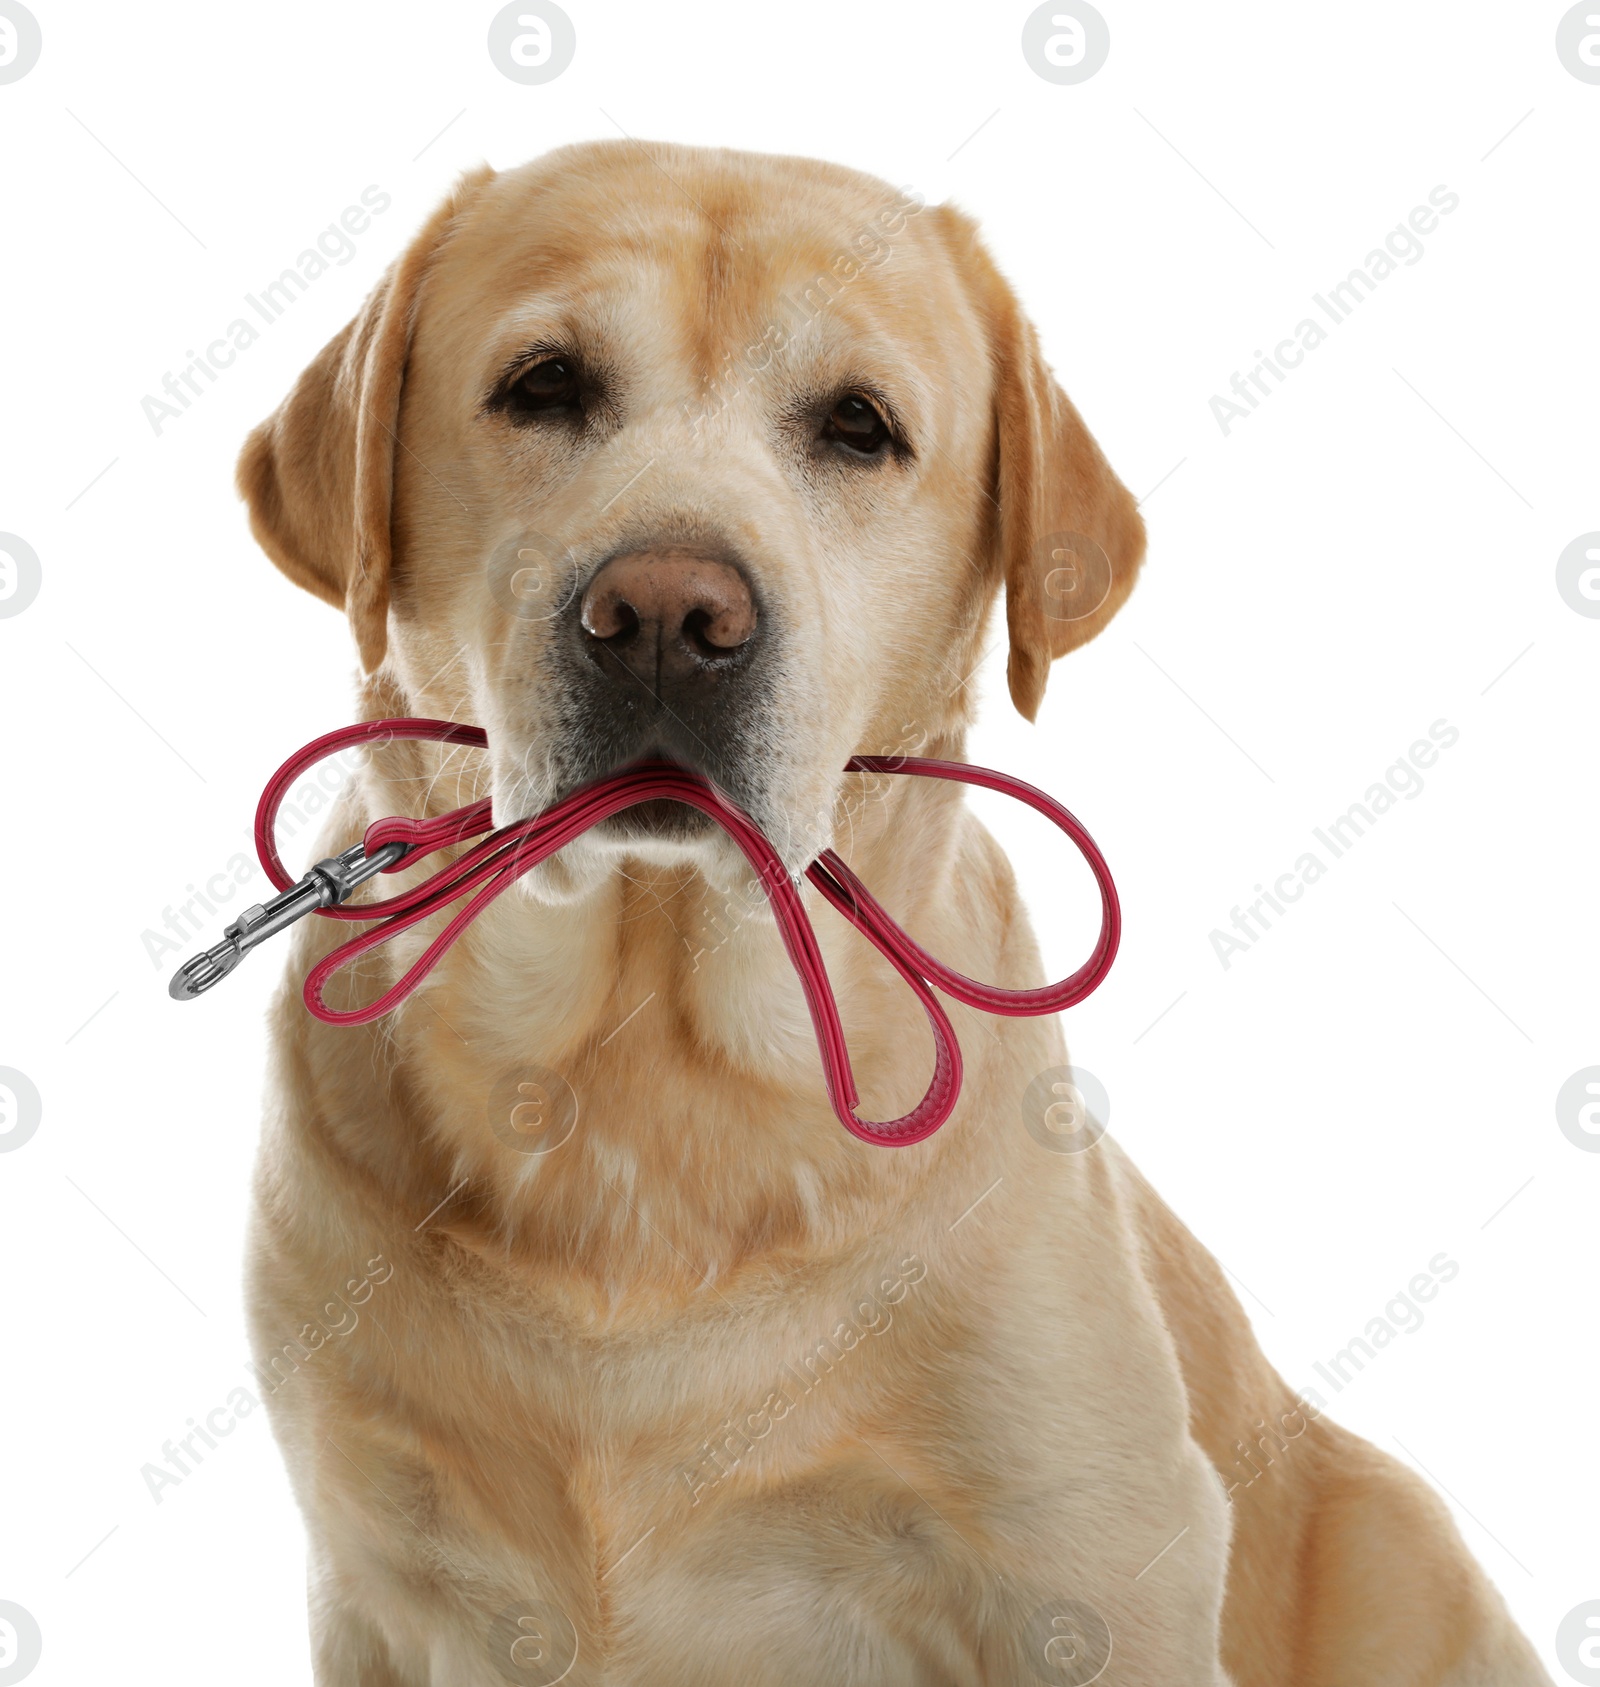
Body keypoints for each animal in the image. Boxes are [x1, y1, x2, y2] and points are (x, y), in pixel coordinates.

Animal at [227, 145, 1552, 1687]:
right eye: (543, 384)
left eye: (858, 426)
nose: (667, 613)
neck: (645, 1078)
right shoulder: (373, 1578)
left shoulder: (1099, 1565)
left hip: (1398, 1534)